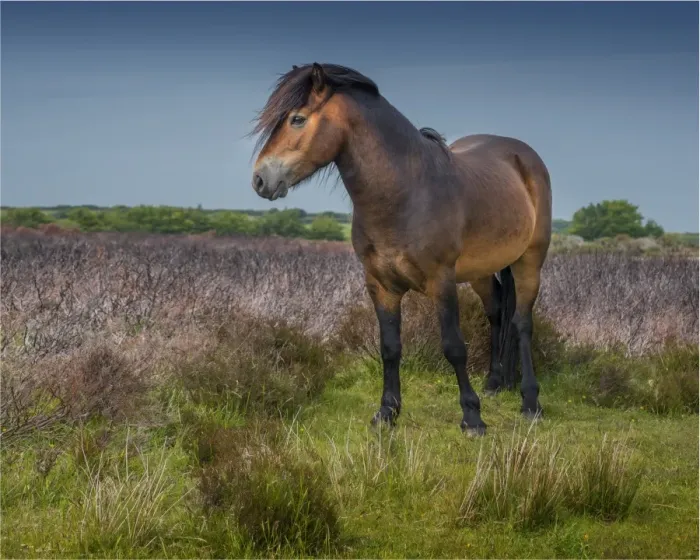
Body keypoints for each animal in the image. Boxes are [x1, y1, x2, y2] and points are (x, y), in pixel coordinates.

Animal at [250, 63, 552, 435]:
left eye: (297, 119)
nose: (260, 179)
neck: (406, 192)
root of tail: (522, 156)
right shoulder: (380, 285)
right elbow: (390, 347)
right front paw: (387, 413)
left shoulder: (442, 281)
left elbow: (454, 346)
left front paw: (472, 418)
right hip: (481, 270)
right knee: (496, 311)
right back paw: (495, 383)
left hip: (530, 261)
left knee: (521, 323)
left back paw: (531, 403)